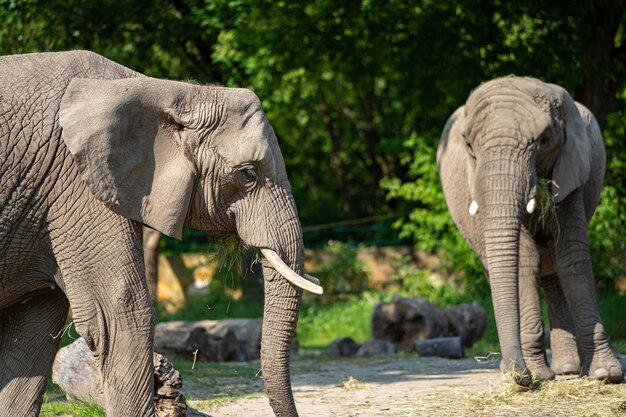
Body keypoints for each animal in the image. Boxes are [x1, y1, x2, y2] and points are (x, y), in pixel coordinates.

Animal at [436, 75, 620, 384]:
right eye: (470, 146)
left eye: (544, 141)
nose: (518, 374)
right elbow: (525, 258)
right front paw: (536, 376)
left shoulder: (572, 170)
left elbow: (572, 253)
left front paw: (606, 374)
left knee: (555, 269)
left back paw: (567, 369)